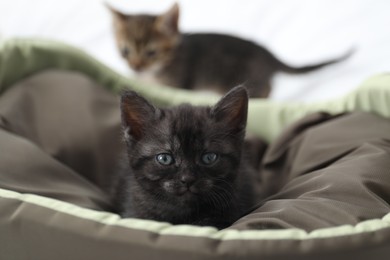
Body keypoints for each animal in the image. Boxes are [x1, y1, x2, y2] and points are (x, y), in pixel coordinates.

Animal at [107, 3, 350, 97]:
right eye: (125, 51)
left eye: (151, 53)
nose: (135, 66)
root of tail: (267, 53)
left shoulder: (179, 85)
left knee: (267, 87)